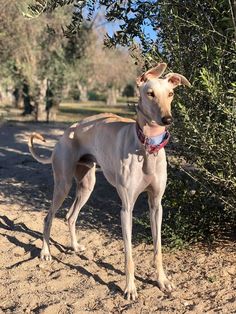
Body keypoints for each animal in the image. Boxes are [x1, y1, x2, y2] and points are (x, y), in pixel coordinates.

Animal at [28, 63, 191, 300]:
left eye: (170, 94)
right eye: (150, 93)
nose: (167, 120)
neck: (146, 147)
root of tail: (68, 131)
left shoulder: (156, 205)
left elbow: (158, 247)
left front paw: (162, 281)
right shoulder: (126, 208)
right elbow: (129, 254)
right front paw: (130, 288)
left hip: (87, 185)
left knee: (70, 216)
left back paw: (74, 246)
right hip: (63, 184)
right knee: (48, 217)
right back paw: (45, 252)